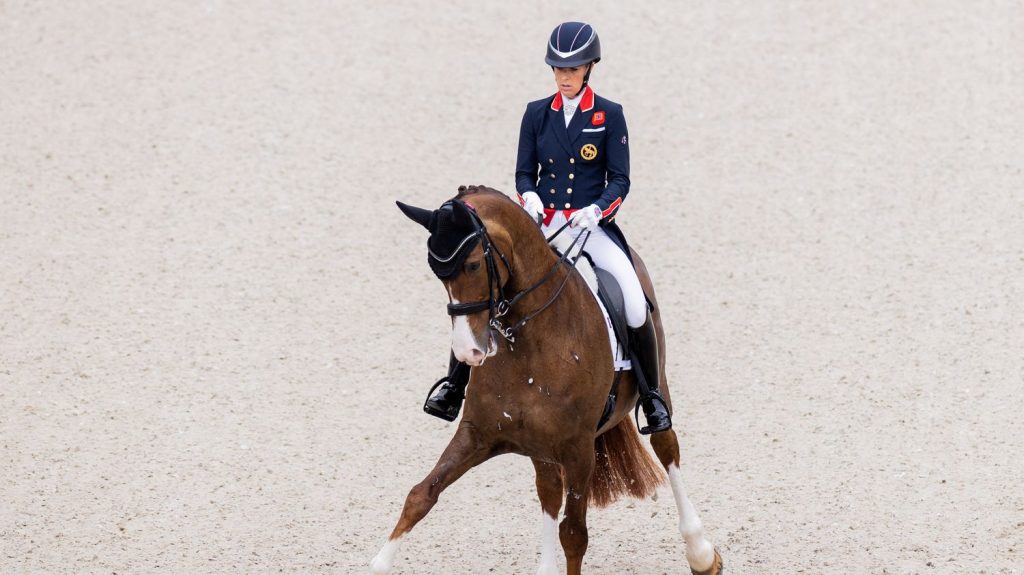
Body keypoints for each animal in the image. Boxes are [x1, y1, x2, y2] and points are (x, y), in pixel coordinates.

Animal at [372, 185, 722, 575]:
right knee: (549, 490)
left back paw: (701, 553)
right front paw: (378, 562)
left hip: (652, 383)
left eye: (474, 264)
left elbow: (574, 534)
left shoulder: (579, 449)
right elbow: (421, 495)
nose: (468, 352)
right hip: (541, 447)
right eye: (436, 273)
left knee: (667, 448)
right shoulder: (478, 435)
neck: (529, 342)